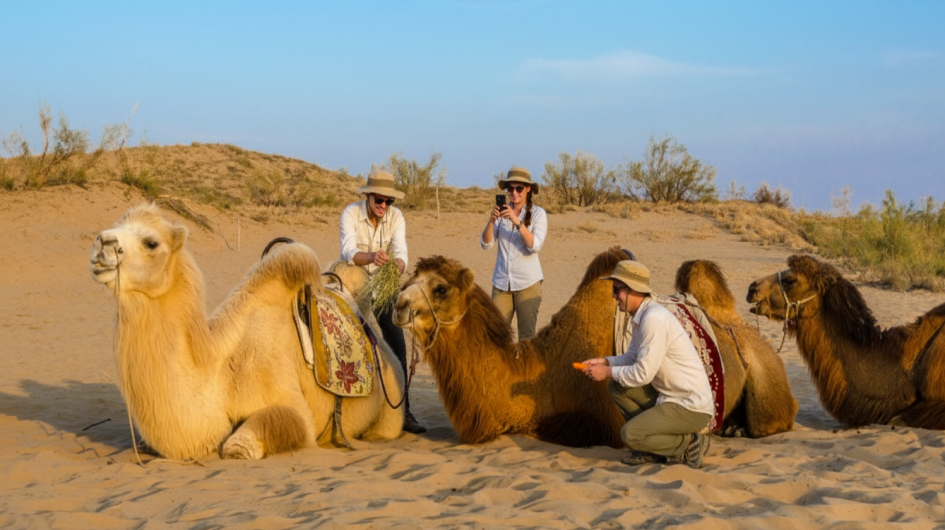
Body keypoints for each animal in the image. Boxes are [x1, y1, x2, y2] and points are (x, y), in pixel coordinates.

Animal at [89, 204, 404, 460]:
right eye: (116, 224)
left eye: (151, 242)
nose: (101, 242)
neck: (219, 372)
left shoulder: (293, 407)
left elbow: (239, 446)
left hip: (390, 407)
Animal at [391, 248, 796, 448]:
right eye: (408, 280)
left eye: (440, 288)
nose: (399, 305)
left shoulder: (600, 422)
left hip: (766, 381)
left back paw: (737, 429)